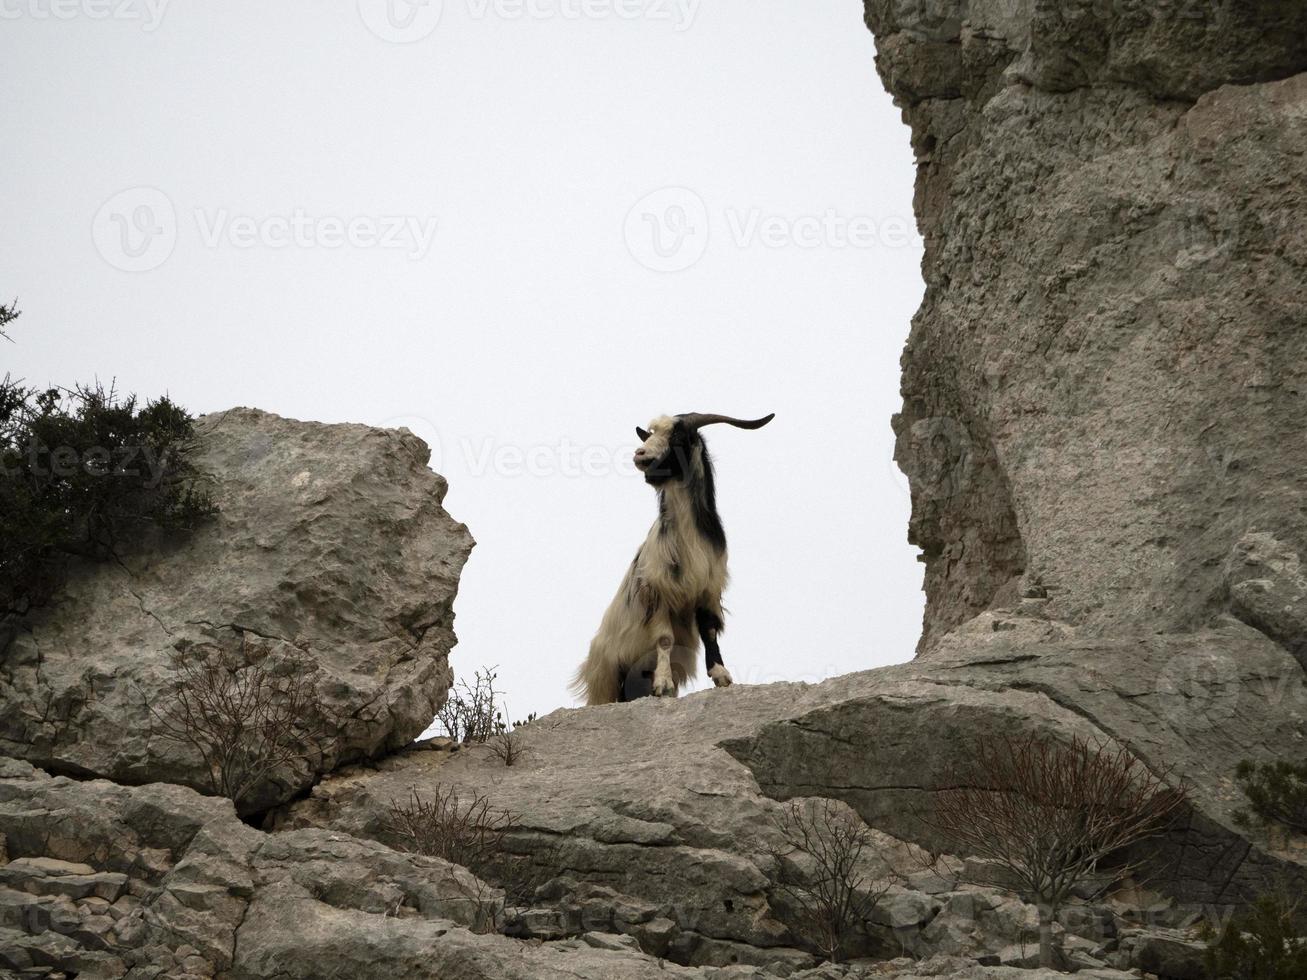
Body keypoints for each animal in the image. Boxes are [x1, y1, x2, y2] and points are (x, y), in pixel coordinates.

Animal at [575, 412, 773, 705]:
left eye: (678, 437)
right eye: (650, 434)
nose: (640, 455)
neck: (688, 538)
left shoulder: (707, 588)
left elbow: (709, 631)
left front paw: (721, 676)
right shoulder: (657, 591)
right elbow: (665, 638)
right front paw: (663, 684)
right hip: (607, 678)